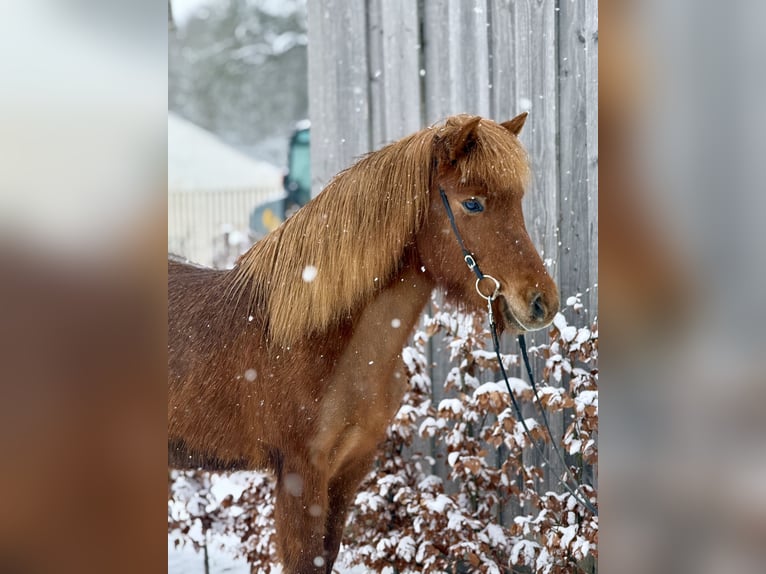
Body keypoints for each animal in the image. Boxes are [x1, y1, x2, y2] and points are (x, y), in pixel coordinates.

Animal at [168, 113, 559, 573]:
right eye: (473, 203)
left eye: (516, 202)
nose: (541, 302)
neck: (320, 341)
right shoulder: (300, 477)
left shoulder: (350, 469)